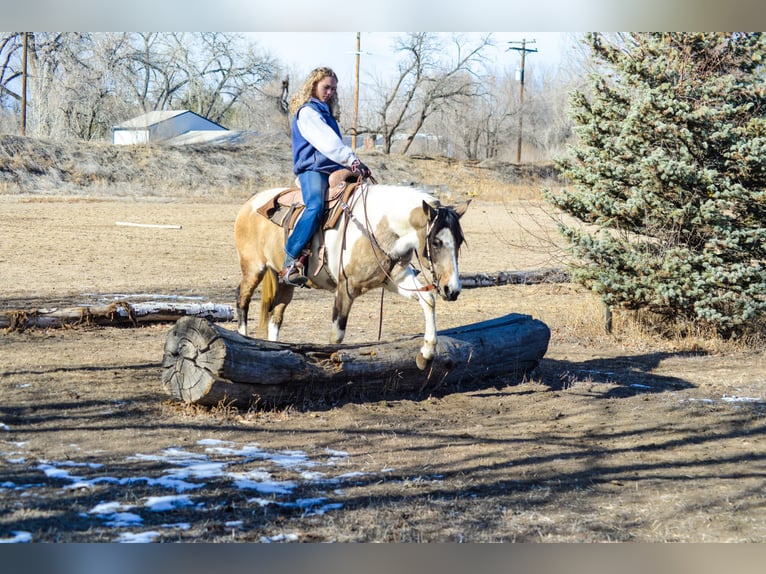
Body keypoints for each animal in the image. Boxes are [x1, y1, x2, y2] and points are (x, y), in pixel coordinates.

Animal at [234, 178, 468, 372]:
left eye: (459, 241)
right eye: (436, 242)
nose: (452, 289)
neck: (377, 227)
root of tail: (250, 203)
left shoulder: (396, 279)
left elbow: (428, 300)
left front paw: (425, 355)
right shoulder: (345, 288)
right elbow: (336, 335)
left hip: (285, 282)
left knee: (276, 315)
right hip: (253, 268)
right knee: (242, 299)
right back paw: (242, 340)